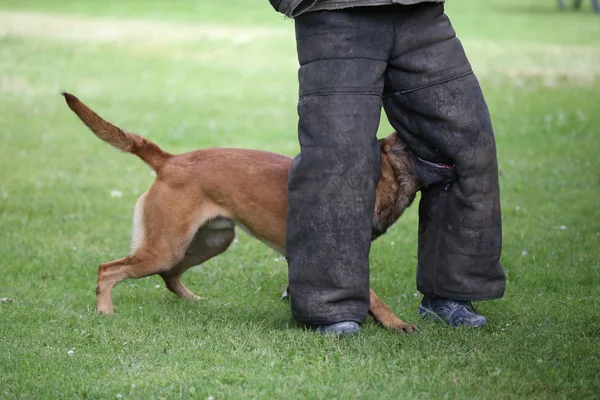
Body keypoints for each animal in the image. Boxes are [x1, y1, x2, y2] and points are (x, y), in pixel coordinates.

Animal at [62, 92, 454, 332]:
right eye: (417, 136)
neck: (378, 176)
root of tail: (170, 161)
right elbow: (373, 296)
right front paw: (394, 323)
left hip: (210, 241)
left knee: (169, 275)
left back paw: (195, 302)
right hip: (165, 247)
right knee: (109, 269)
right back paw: (105, 311)